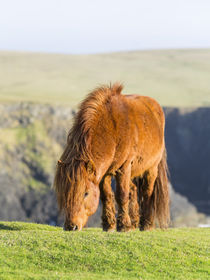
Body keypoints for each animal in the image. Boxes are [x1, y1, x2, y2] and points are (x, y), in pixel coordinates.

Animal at [53, 83, 170, 232]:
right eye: (64, 193)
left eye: (85, 193)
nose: (71, 226)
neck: (111, 130)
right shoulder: (104, 174)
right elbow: (106, 196)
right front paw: (109, 225)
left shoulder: (124, 167)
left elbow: (122, 195)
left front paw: (123, 226)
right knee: (133, 190)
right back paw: (134, 223)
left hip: (151, 168)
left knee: (147, 192)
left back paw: (146, 224)